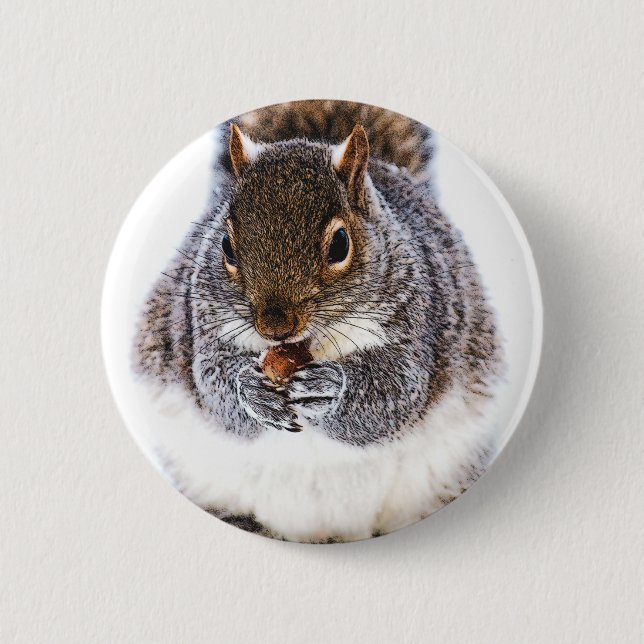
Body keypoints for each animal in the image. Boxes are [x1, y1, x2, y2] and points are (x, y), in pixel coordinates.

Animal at [134, 100, 503, 540]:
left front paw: (329, 388)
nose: (274, 327)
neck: (307, 345)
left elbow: (395, 395)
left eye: (340, 244)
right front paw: (249, 390)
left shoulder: (418, 324)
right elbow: (213, 386)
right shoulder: (202, 324)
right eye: (225, 244)